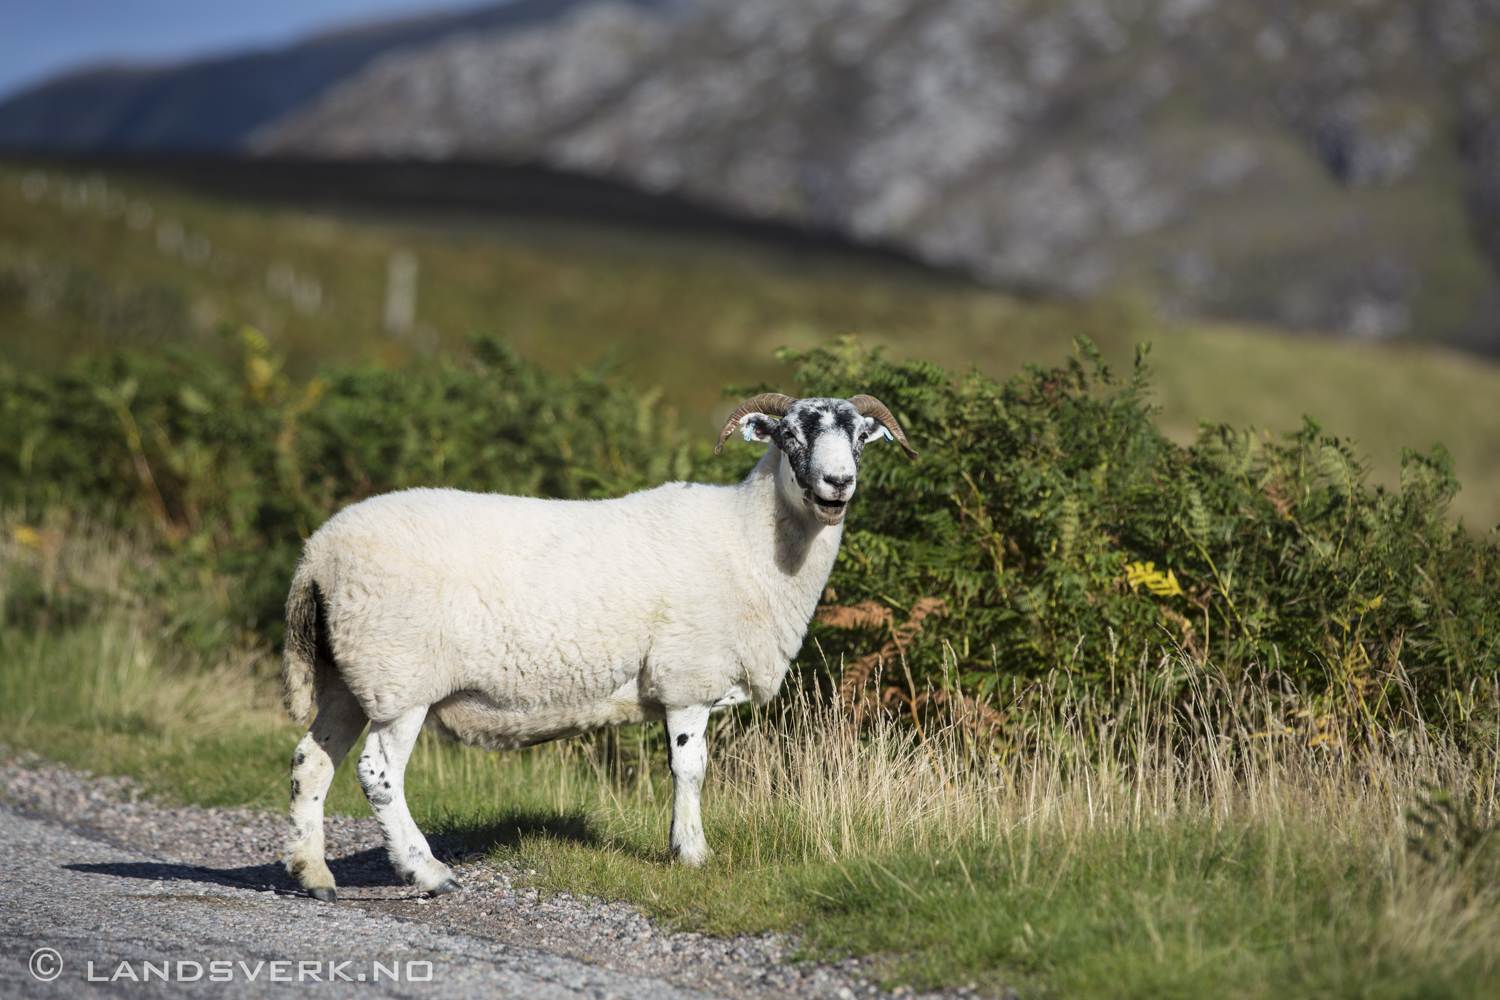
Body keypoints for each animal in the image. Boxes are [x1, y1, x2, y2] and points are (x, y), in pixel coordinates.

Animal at [279, 389, 912, 899]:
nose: (838, 485)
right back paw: (427, 873)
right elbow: (691, 769)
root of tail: (317, 555)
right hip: (400, 677)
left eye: (860, 437)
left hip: (350, 676)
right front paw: (692, 854)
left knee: (311, 761)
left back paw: (314, 874)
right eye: (790, 436)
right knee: (377, 773)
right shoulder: (687, 678)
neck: (749, 541)